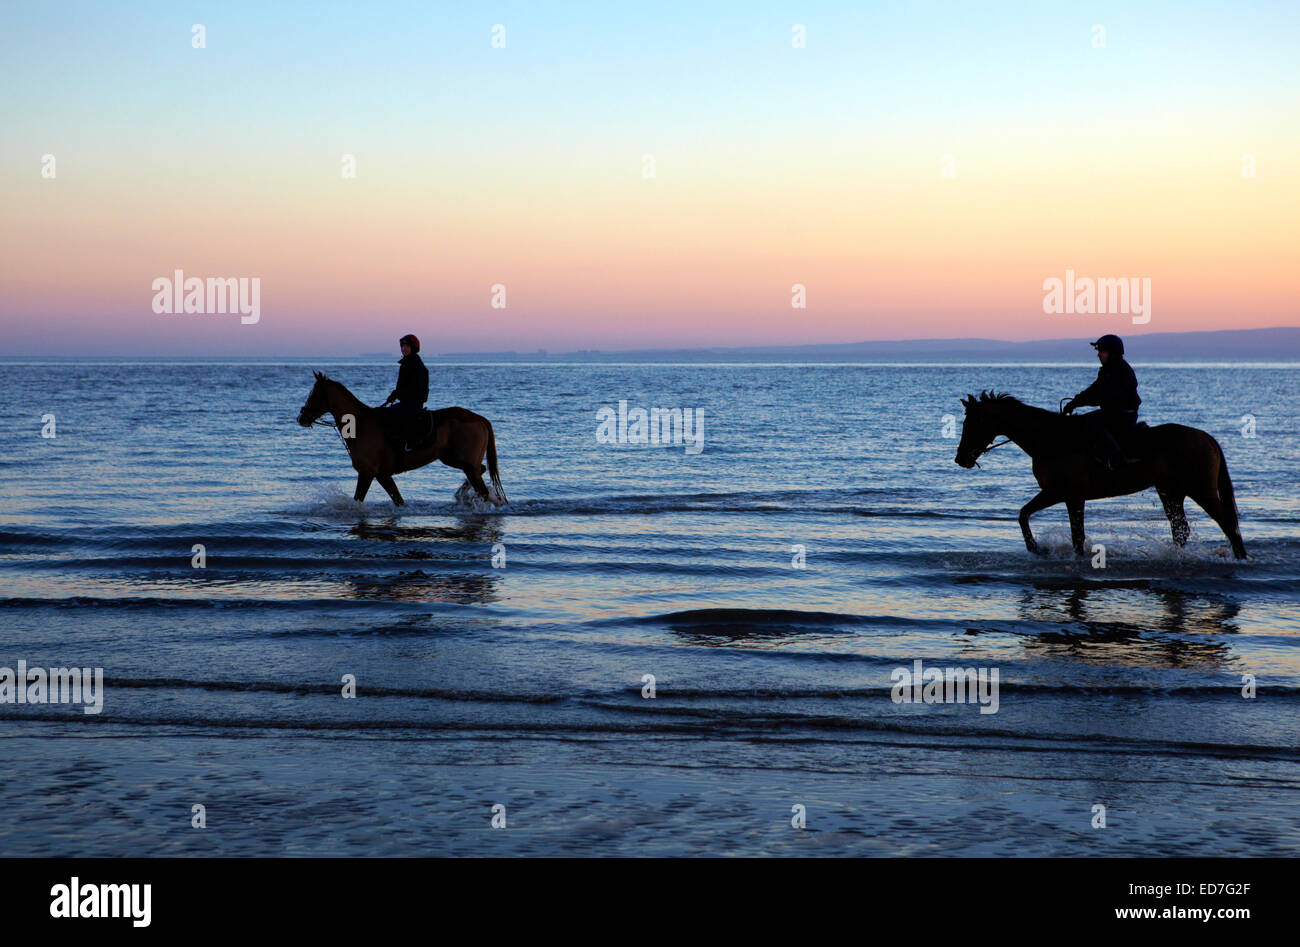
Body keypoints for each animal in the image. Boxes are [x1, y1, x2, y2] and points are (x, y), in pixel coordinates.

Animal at [297, 369, 504, 507]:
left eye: (314, 394)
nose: (301, 418)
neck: (359, 424)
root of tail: (478, 418)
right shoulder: (382, 475)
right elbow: (398, 500)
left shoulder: (367, 472)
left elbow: (358, 499)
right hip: (453, 459)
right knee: (481, 471)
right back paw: (462, 495)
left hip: (463, 462)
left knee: (481, 487)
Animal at [956, 390, 1248, 559]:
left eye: (973, 422)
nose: (961, 459)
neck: (1052, 439)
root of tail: (1206, 438)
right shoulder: (1062, 495)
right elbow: (1027, 515)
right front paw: (1037, 548)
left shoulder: (1066, 494)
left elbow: (1069, 533)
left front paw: (1037, 548)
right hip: (1170, 491)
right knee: (1182, 530)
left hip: (1202, 491)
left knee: (1228, 526)